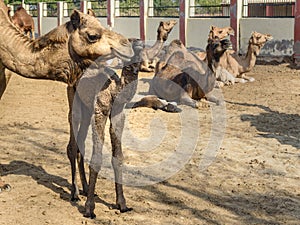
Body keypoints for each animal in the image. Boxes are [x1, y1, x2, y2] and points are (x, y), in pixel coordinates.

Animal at [0, 0, 134, 217]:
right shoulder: (100, 111)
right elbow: (97, 157)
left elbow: (118, 156)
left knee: (80, 145)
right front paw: (89, 208)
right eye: (92, 35)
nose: (128, 45)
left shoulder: (118, 113)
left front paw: (122, 203)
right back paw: (75, 193)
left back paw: (85, 189)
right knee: (73, 144)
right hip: (75, 102)